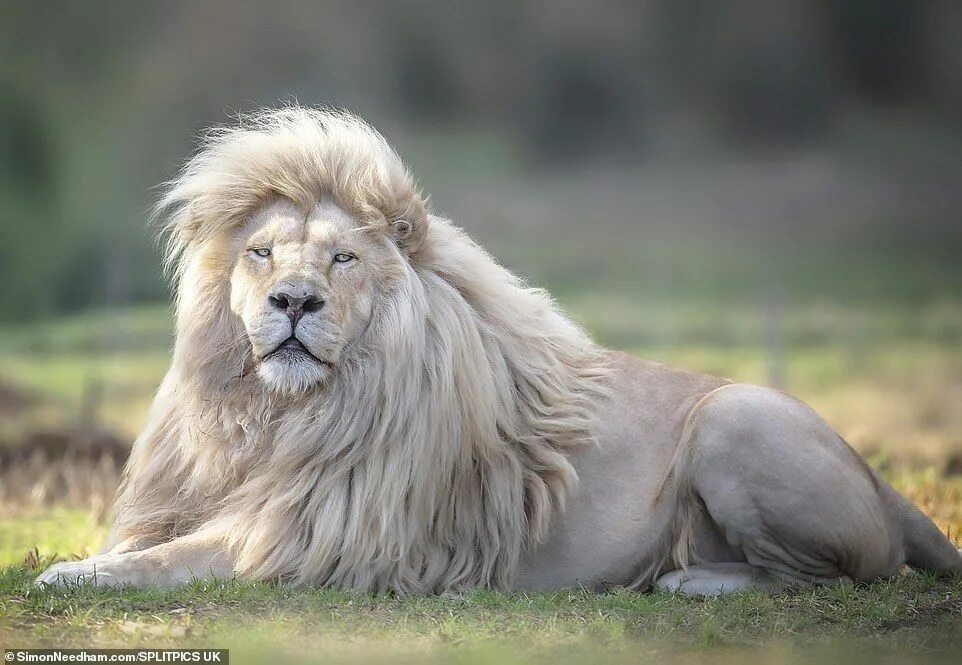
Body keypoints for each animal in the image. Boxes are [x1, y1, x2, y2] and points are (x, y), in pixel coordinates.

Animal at [37, 106, 960, 592]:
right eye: (263, 252)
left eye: (342, 259)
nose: (293, 301)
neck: (275, 413)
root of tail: (881, 479)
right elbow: (145, 544)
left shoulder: (312, 536)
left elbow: (163, 560)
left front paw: (64, 574)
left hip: (736, 415)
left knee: (843, 573)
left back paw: (686, 577)